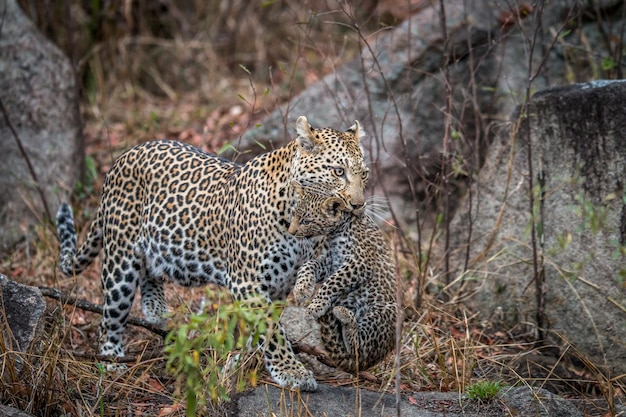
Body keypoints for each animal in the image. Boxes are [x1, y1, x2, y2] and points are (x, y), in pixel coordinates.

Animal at [54, 116, 366, 390]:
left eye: (364, 174)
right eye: (338, 171)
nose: (358, 205)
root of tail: (123, 156)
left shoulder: (280, 283)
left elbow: (261, 328)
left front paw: (243, 360)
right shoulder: (247, 281)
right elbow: (271, 330)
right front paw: (292, 372)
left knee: (150, 273)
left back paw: (155, 309)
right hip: (120, 261)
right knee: (111, 314)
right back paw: (111, 360)